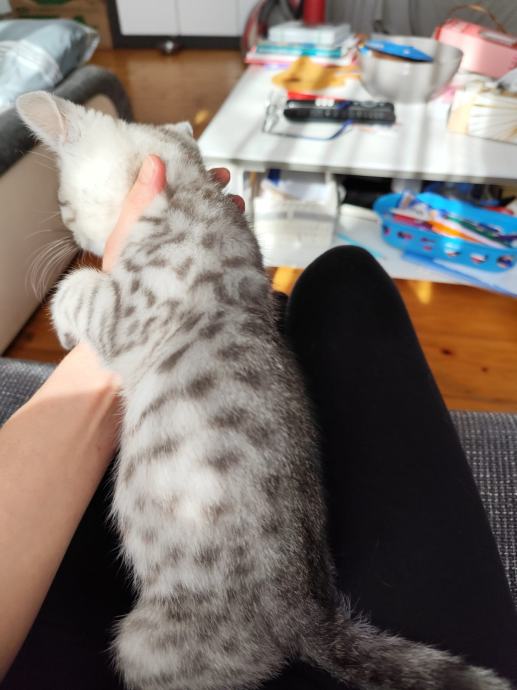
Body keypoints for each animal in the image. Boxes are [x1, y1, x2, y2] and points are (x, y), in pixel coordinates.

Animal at [17, 91, 513, 690]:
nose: (72, 235)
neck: (193, 197)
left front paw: (65, 316)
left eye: (63, 203)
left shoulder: (132, 312)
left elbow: (81, 290)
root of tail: (303, 615)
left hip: (144, 644)